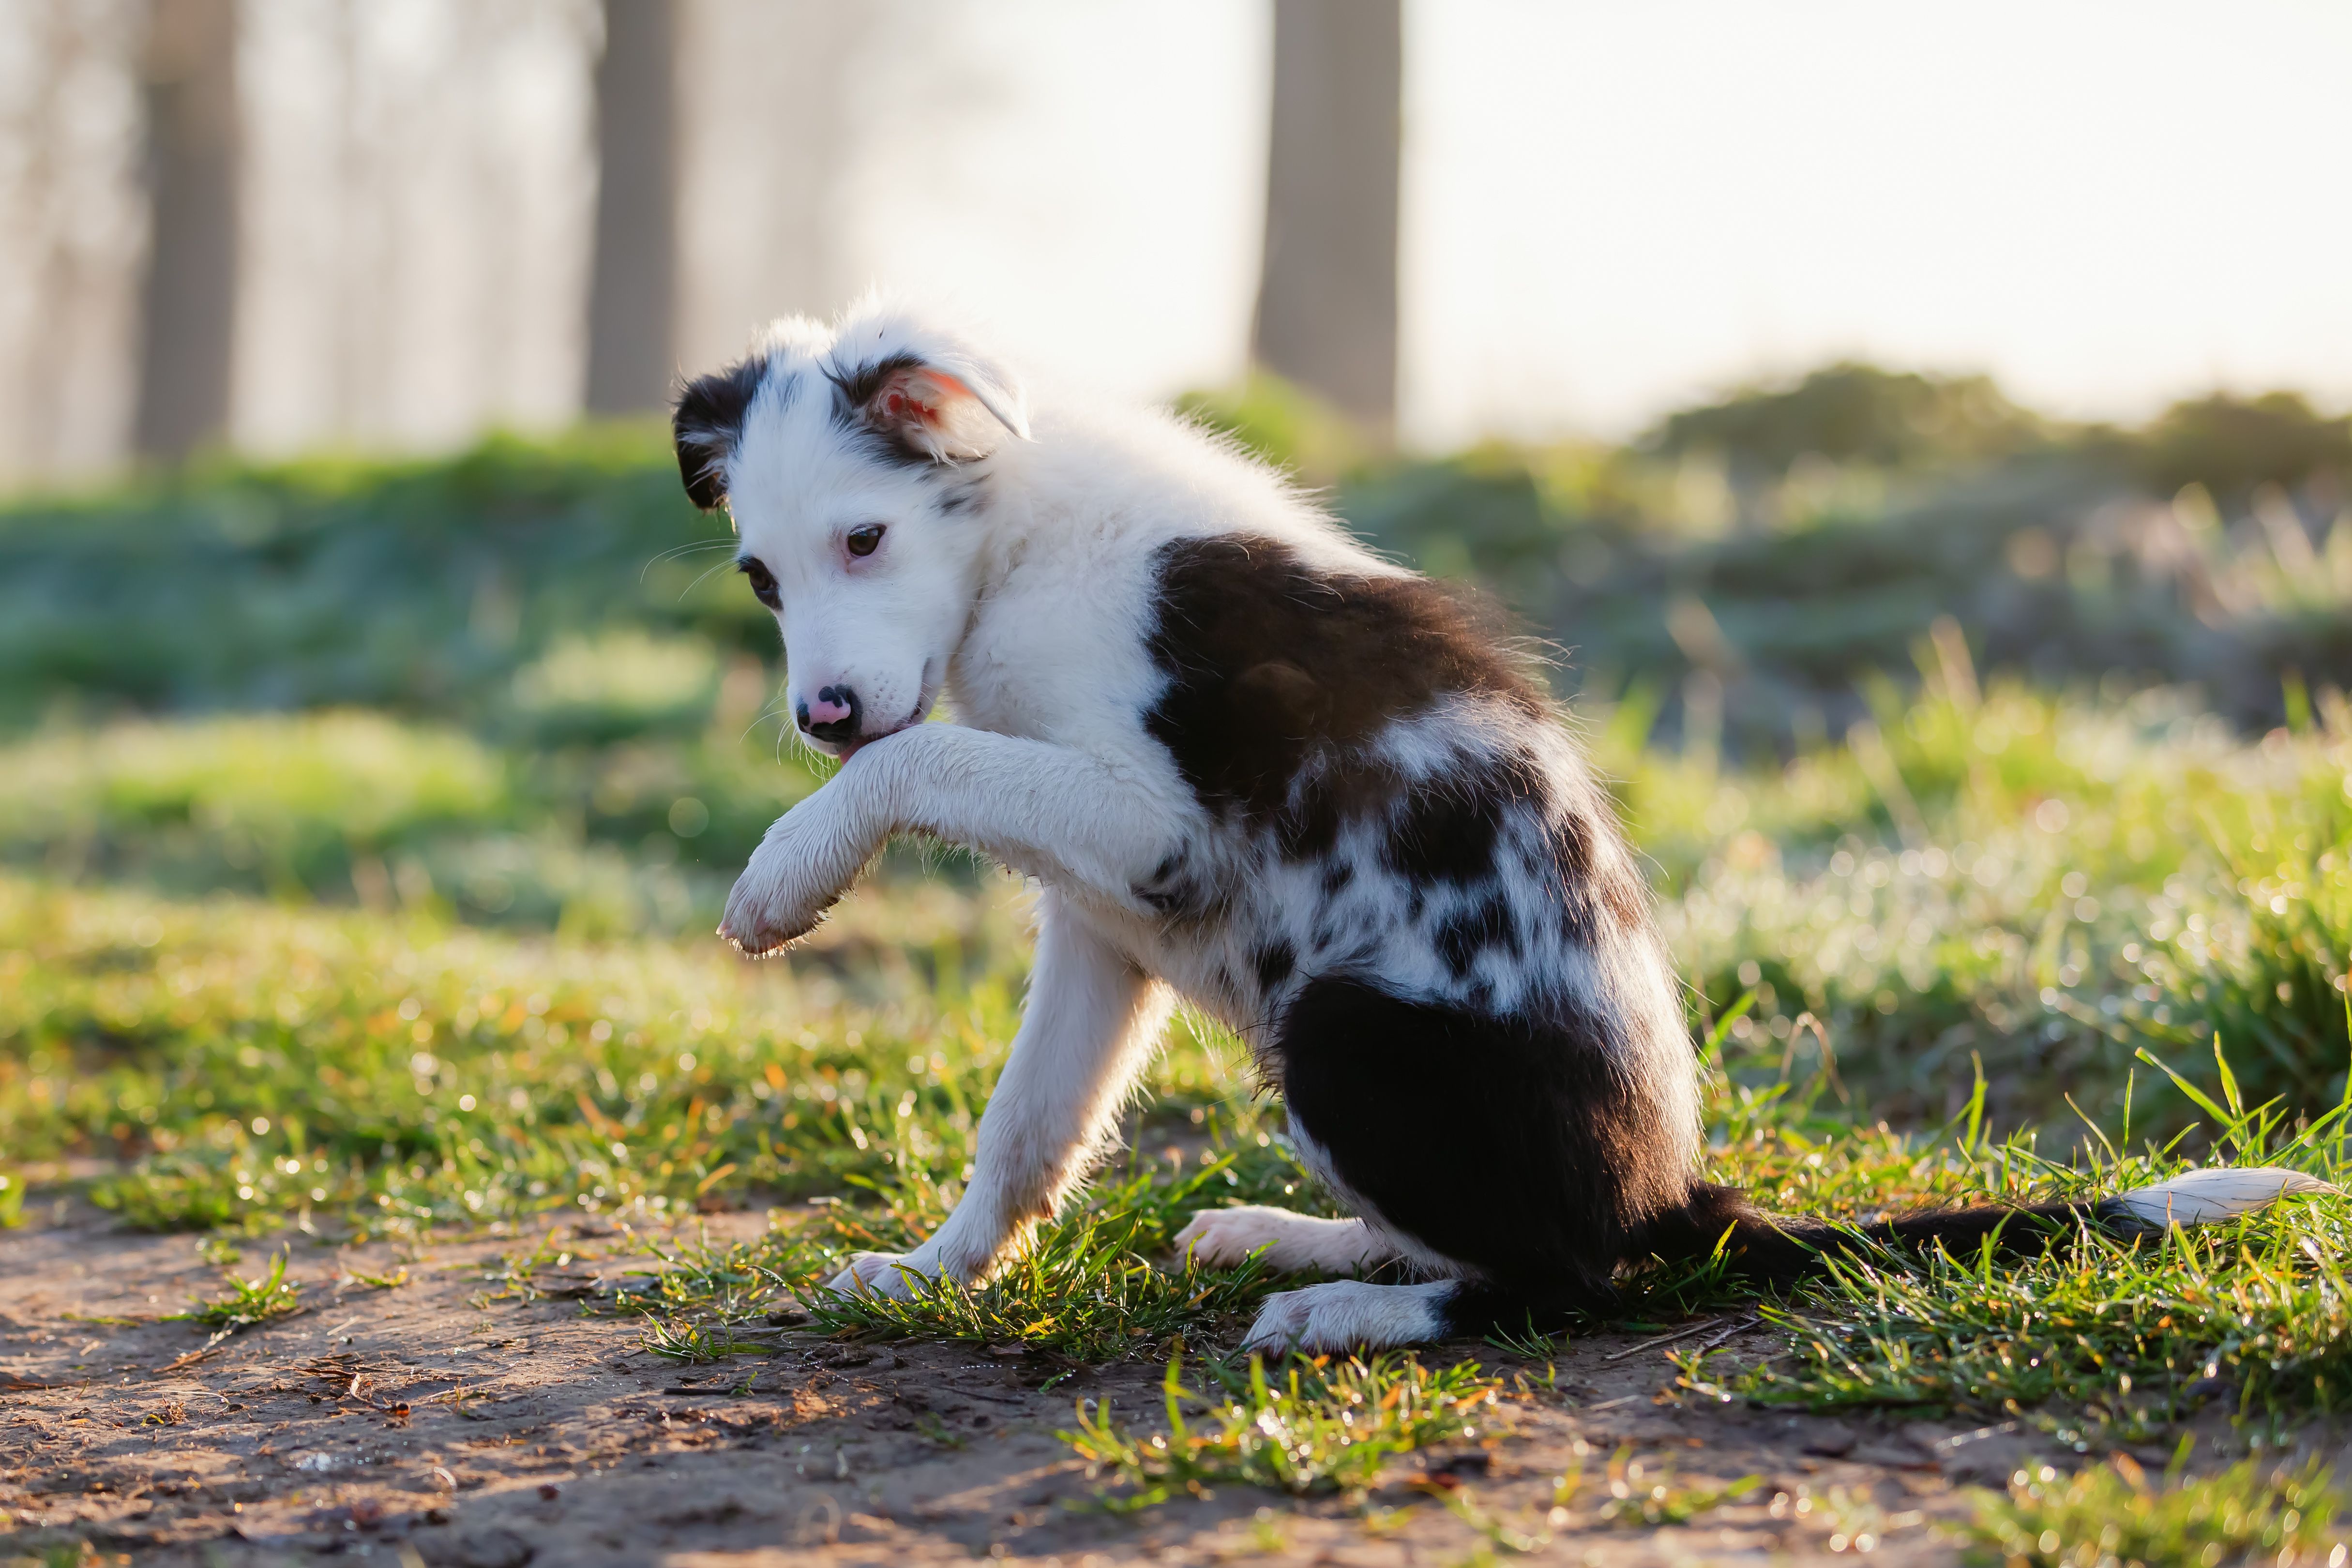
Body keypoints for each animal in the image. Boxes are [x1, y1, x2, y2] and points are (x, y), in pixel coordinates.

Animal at [672, 301, 2323, 1354]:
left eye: (867, 539)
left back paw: (1346, 1310)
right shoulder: (1100, 916)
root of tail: (1676, 1201)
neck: (1015, 541)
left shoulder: (1149, 828)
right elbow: (1027, 1128)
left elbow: (923, 760)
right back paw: (1302, 1238)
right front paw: (937, 1273)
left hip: (1343, 1033)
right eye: (761, 576)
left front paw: (784, 874)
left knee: (1562, 1284)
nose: (823, 711)